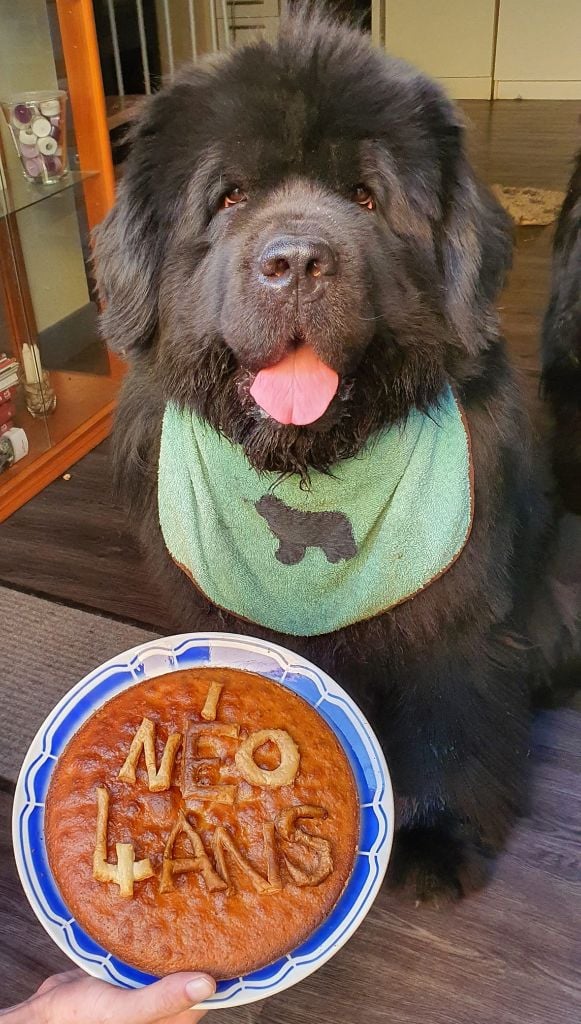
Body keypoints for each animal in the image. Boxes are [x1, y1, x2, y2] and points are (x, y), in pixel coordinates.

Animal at [96, 12, 577, 901]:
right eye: (230, 196)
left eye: (364, 196)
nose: (294, 261)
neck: (311, 465)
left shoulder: (454, 621)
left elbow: (448, 722)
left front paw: (435, 838)